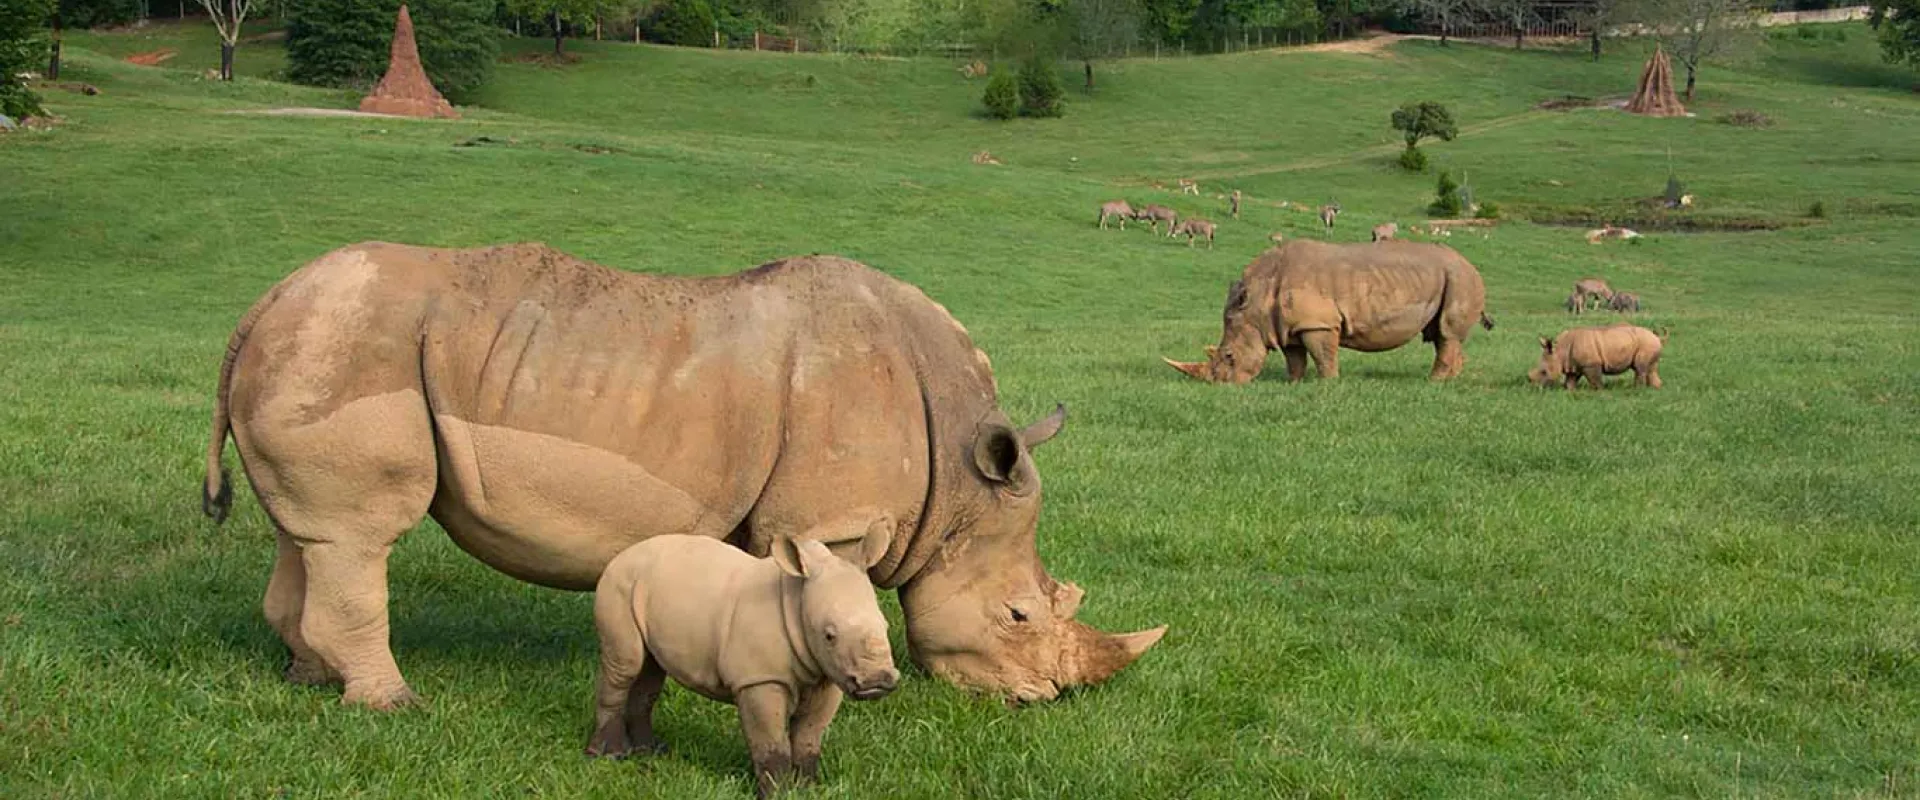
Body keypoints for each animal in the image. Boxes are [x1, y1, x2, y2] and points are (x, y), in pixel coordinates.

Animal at [200, 242, 1164, 709]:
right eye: (1019, 615)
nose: (1043, 699)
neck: (960, 488)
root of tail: (259, 304)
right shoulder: (834, 522)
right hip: (353, 343)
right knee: (362, 537)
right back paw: (393, 704)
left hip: (318, 344)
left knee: (310, 535)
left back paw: (310, 679)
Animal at [1164, 240, 1494, 383]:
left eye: (1230, 357)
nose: (1221, 385)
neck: (1257, 299)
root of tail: (1470, 264)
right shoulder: (1285, 326)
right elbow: (1295, 359)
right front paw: (1294, 384)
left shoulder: (1317, 323)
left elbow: (1323, 356)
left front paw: (1328, 384)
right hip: (1450, 278)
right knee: (1441, 334)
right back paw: (1451, 380)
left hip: (1460, 278)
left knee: (1447, 332)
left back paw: (1433, 382)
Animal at [1528, 323, 1666, 389]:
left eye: (1543, 372)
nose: (1535, 387)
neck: (1560, 351)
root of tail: (1657, 337)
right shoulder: (1573, 364)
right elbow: (1571, 380)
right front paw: (1570, 391)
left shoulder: (1590, 364)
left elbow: (1595, 380)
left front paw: (1599, 392)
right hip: (1648, 343)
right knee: (1651, 368)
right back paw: (1655, 388)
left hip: (1646, 342)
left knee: (1639, 367)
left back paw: (1636, 390)